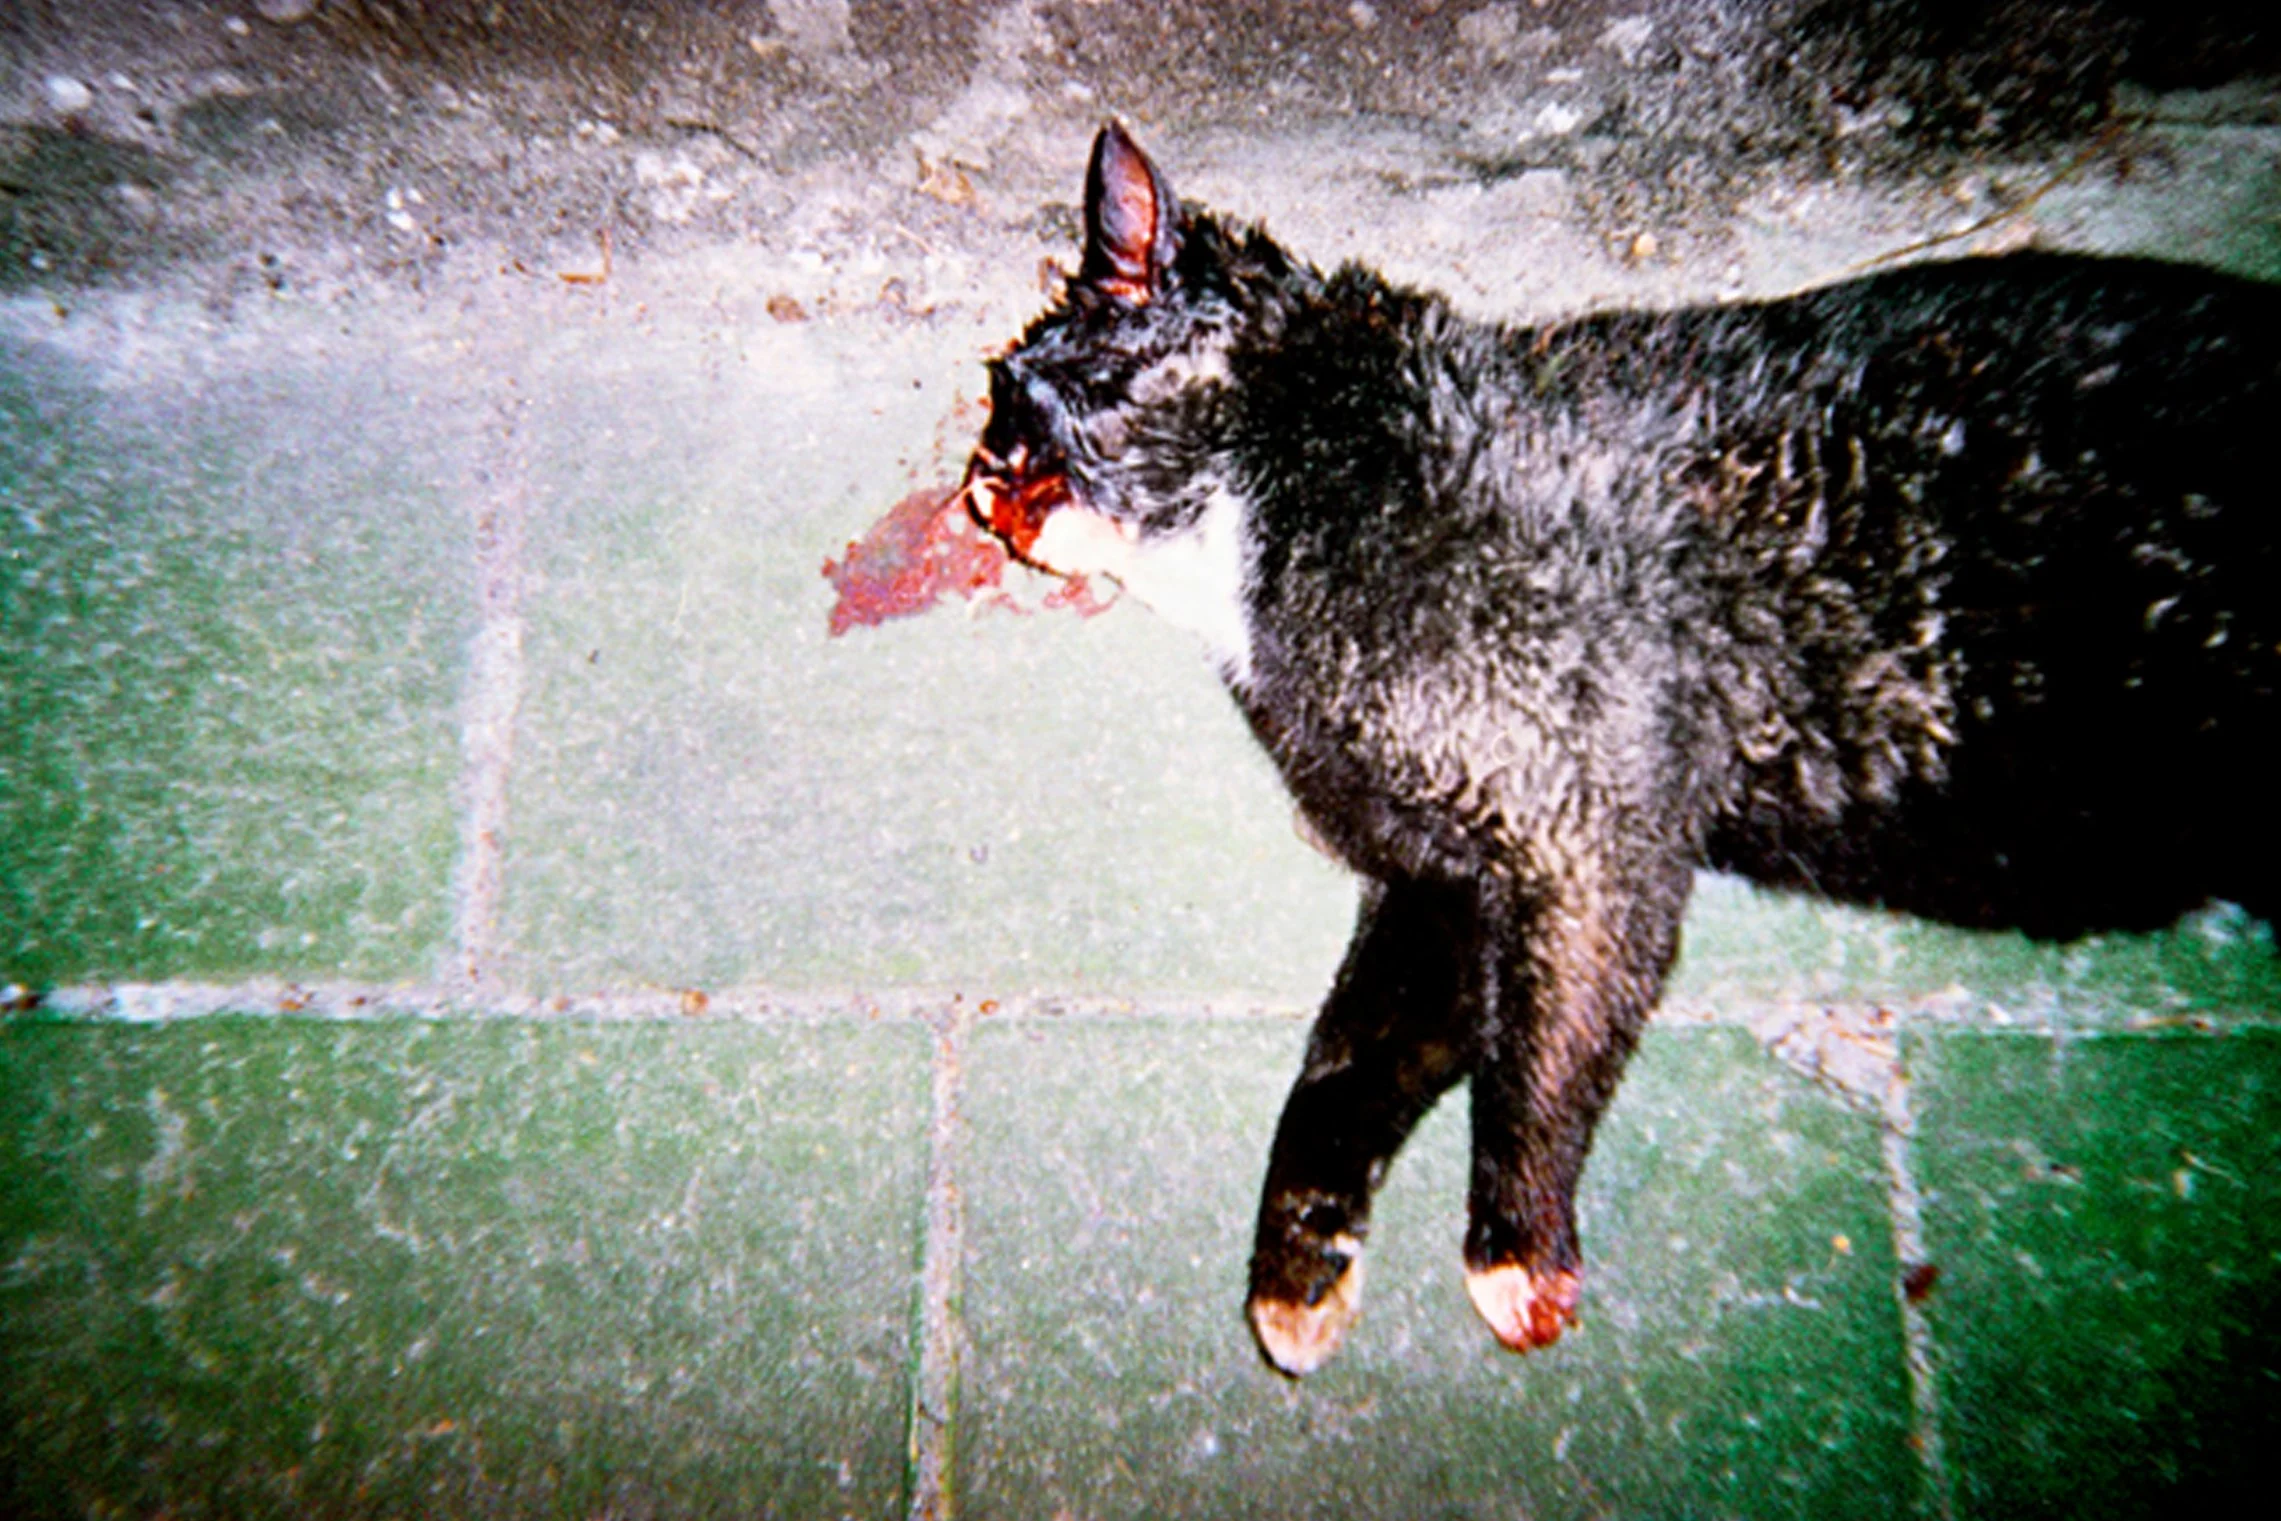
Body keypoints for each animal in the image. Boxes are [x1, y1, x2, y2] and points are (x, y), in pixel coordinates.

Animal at [961, 123, 2280, 1377]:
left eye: (1018, 409)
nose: (974, 489)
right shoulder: (1444, 884)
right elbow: (1341, 1064)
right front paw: (1298, 1272)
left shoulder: (1584, 840)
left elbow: (1534, 1064)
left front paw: (1515, 1251)